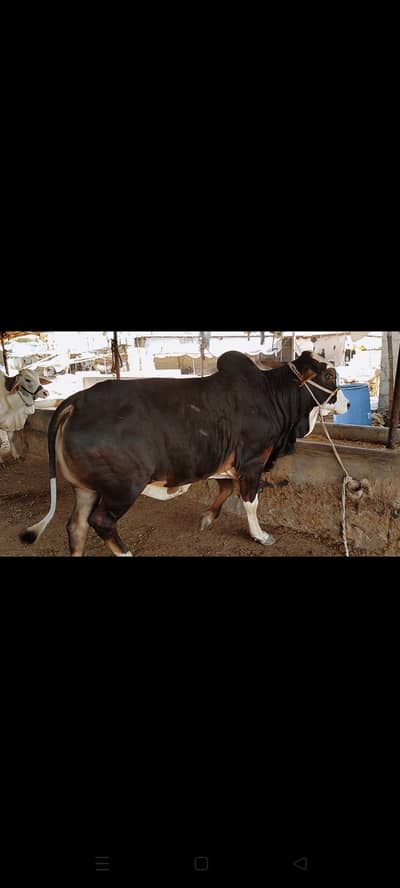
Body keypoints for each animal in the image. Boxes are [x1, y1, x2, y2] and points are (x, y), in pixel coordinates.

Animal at [19, 351, 350, 556]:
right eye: (329, 375)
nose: (346, 404)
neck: (273, 397)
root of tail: (76, 400)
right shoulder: (252, 461)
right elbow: (251, 502)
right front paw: (260, 536)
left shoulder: (222, 460)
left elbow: (225, 488)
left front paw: (207, 518)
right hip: (122, 487)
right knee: (101, 522)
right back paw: (127, 553)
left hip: (85, 488)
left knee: (77, 527)